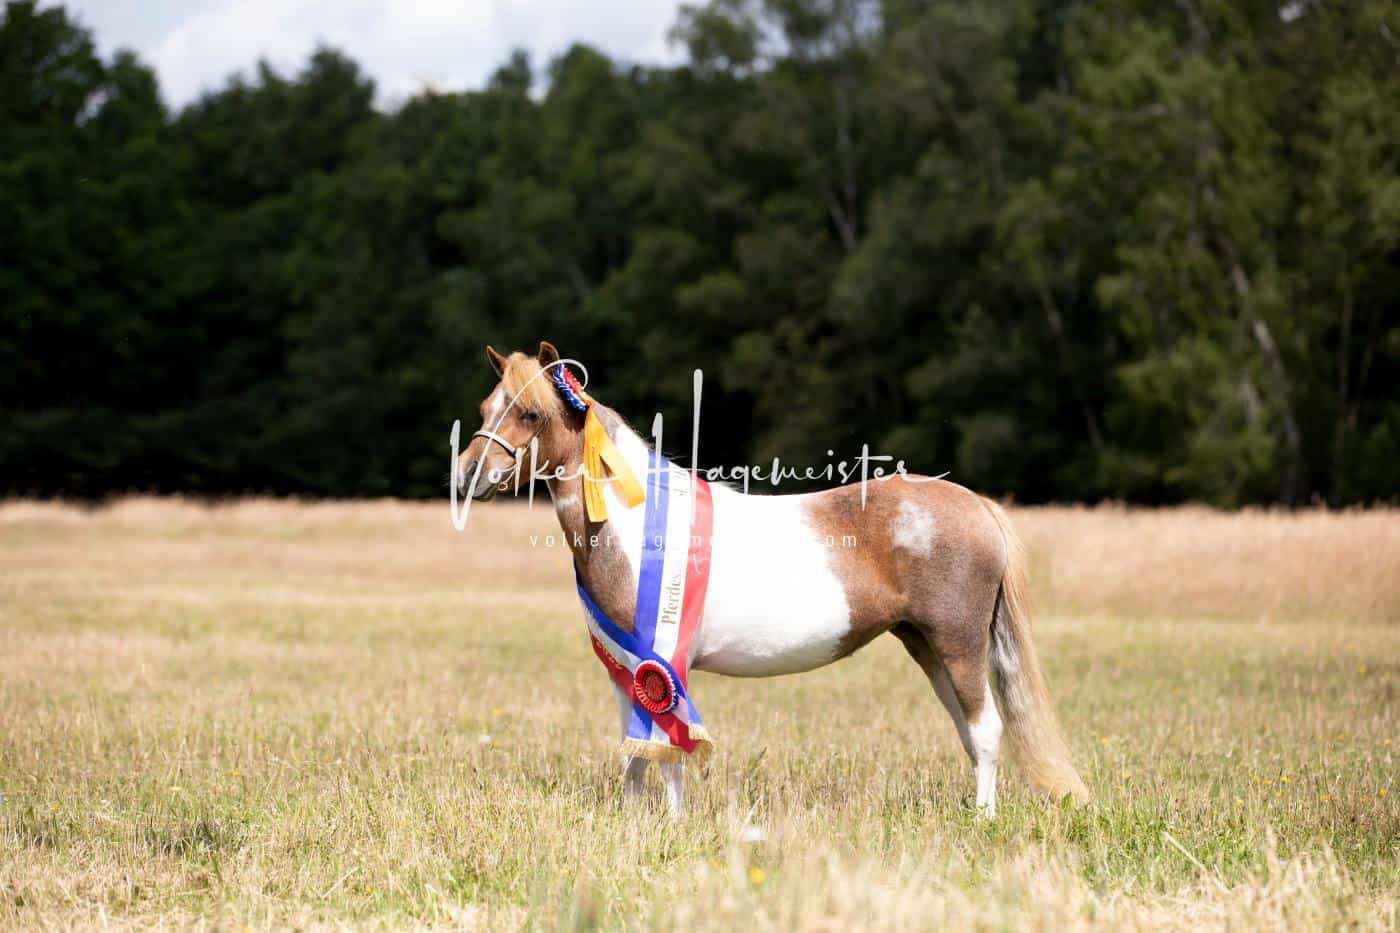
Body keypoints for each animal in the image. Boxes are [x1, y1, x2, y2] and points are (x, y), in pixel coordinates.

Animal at [456, 341, 1088, 817]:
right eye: (485, 406)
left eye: (531, 413)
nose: (468, 475)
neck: (637, 522)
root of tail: (977, 505)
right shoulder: (626, 666)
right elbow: (636, 751)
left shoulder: (664, 662)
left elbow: (669, 746)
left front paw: (672, 825)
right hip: (927, 647)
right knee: (969, 730)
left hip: (957, 644)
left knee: (985, 731)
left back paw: (983, 820)